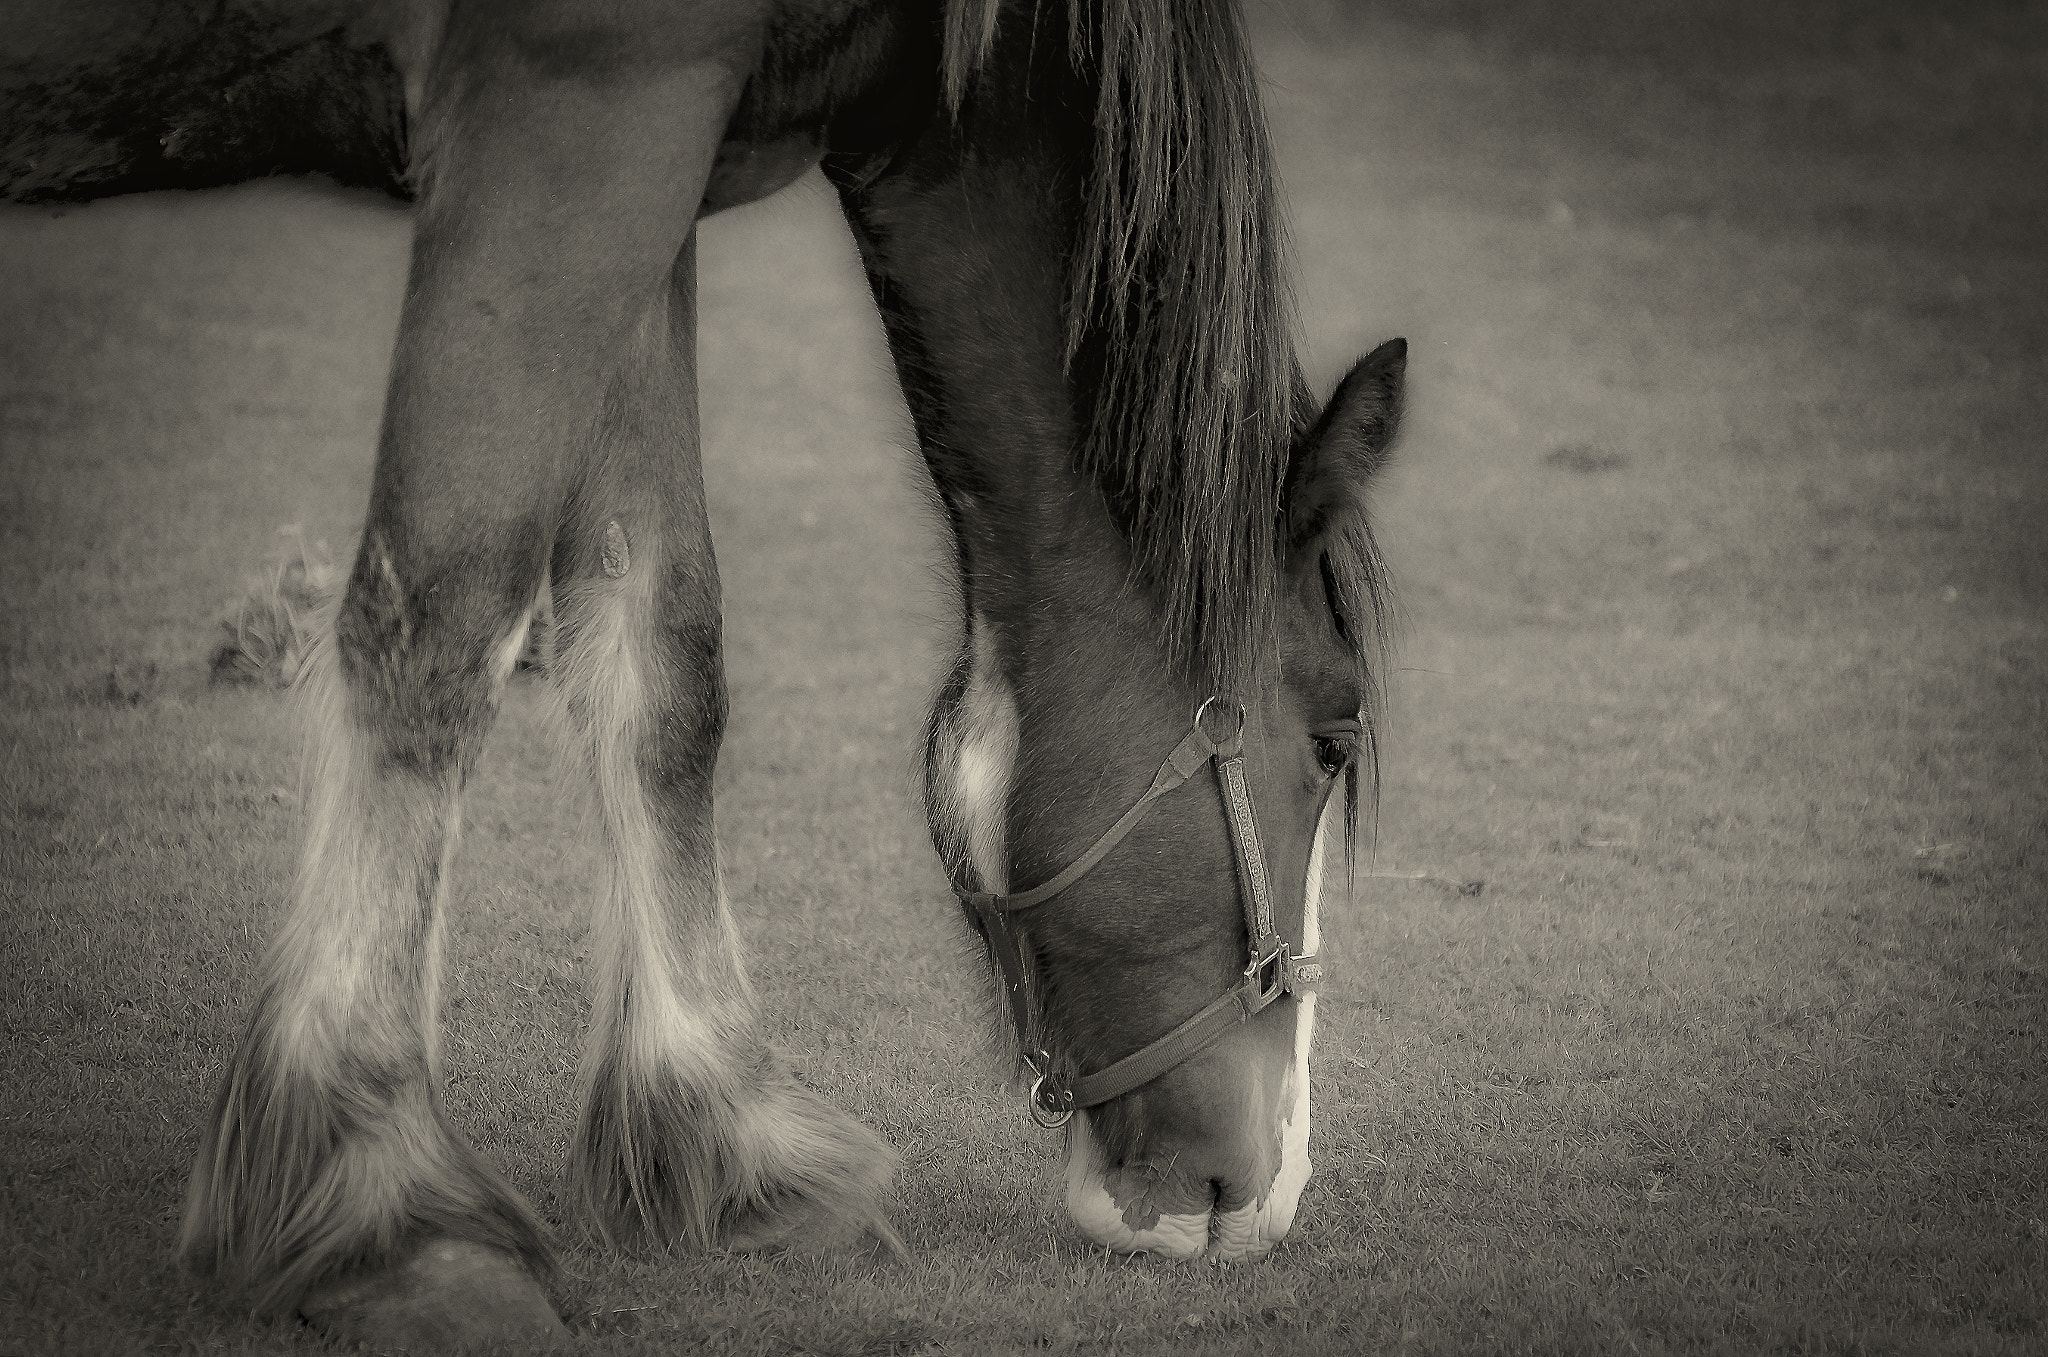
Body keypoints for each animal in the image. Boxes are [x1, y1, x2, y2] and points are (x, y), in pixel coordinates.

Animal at [0, 0, 1400, 1350]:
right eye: (1333, 739)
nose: (1269, 1188)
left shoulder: (656, 155)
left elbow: (662, 642)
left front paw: (716, 1129)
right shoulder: (578, 111)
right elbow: (444, 610)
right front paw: (378, 1204)